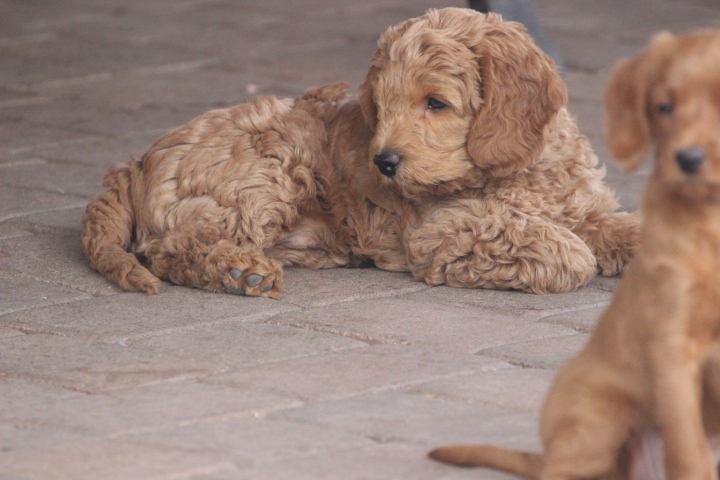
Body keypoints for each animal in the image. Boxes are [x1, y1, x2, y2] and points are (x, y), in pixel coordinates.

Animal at [81, 7, 640, 298]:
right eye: (382, 105)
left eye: (436, 103)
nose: (384, 163)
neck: (521, 169)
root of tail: (134, 163)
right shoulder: (442, 230)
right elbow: (566, 249)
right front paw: (578, 255)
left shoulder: (584, 206)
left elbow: (622, 228)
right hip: (270, 171)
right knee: (172, 249)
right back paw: (239, 270)